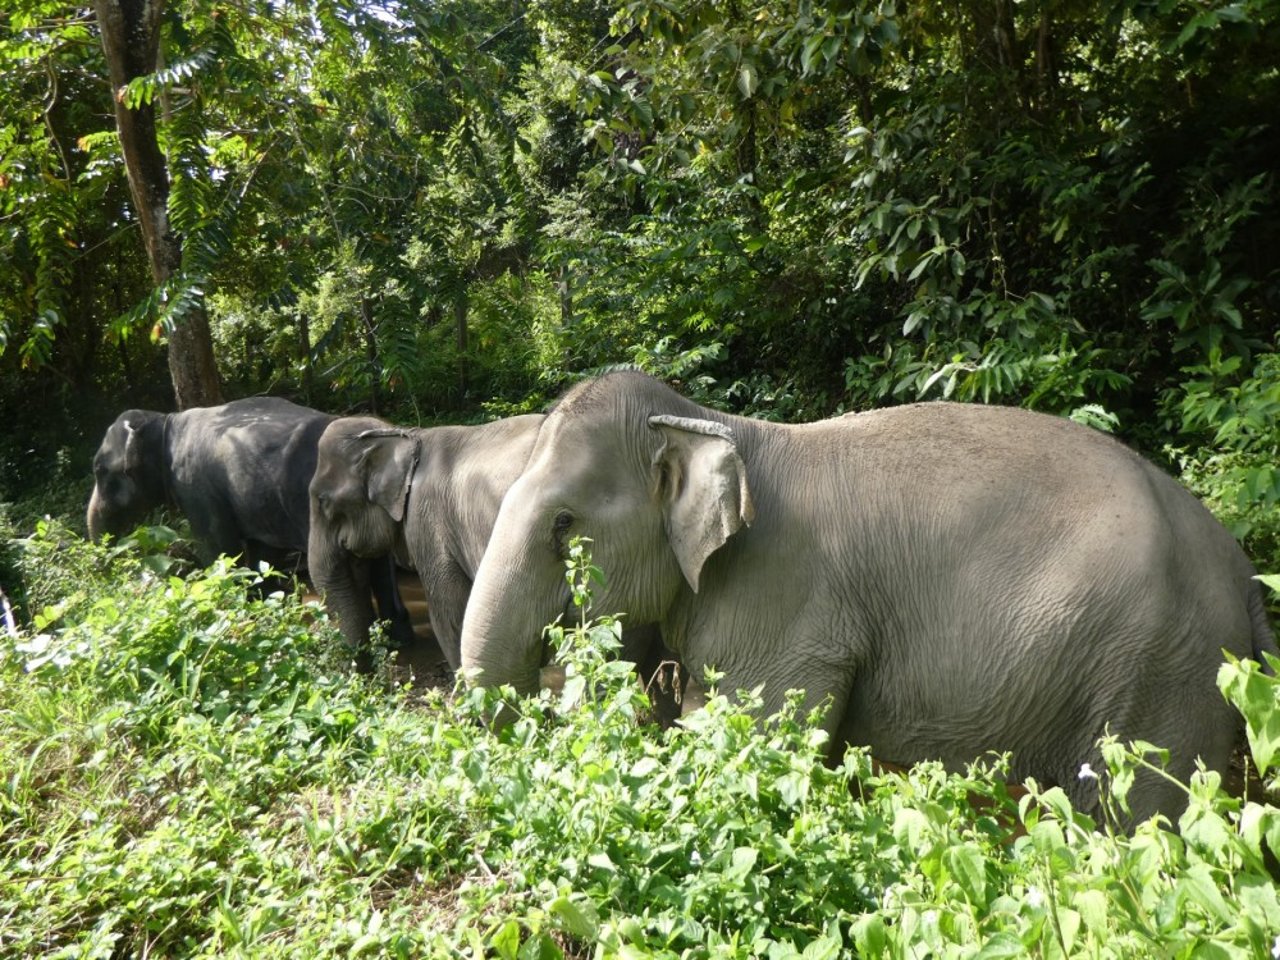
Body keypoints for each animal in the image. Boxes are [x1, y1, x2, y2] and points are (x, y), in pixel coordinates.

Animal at [88, 394, 409, 650]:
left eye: (99, 470)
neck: (164, 421)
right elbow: (262, 553)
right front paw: (264, 607)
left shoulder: (195, 487)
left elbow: (219, 550)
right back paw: (397, 636)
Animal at [463, 371, 1280, 824]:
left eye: (563, 524)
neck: (709, 422)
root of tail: (1243, 574)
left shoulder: (784, 600)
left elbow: (767, 734)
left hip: (1163, 674)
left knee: (1139, 821)